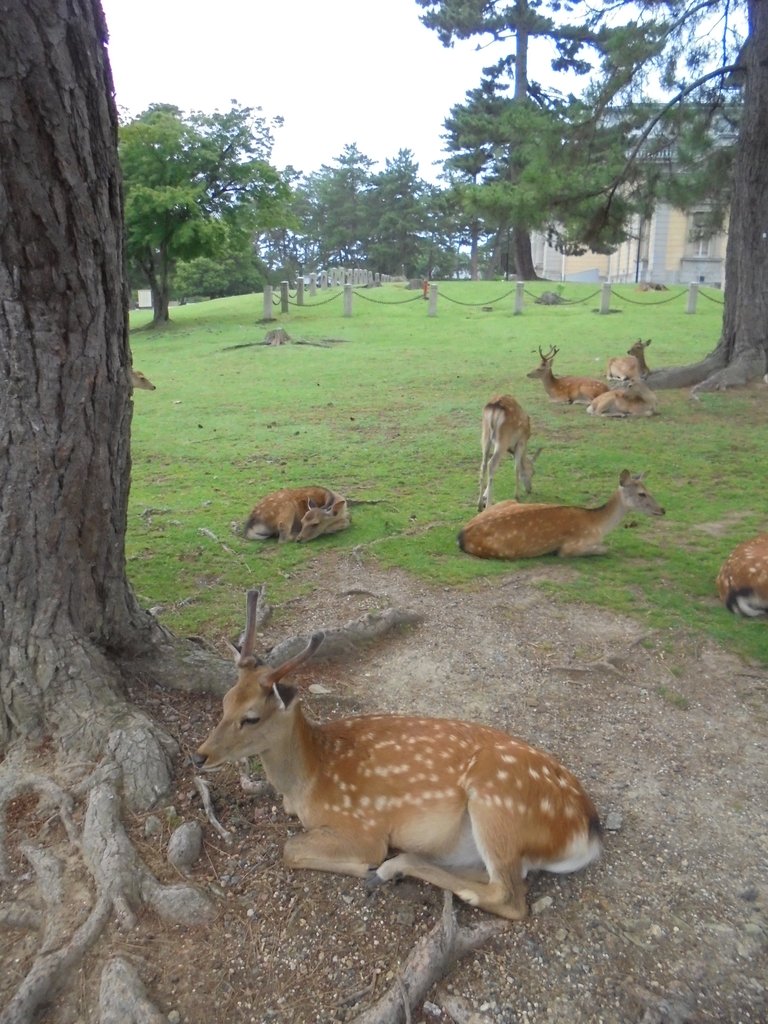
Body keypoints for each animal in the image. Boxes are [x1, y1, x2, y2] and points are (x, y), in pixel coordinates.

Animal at [195, 589, 606, 925]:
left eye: (251, 717)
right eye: (225, 700)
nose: (200, 756)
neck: (307, 781)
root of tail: (588, 828)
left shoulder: (361, 825)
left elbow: (290, 849)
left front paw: (364, 868)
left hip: (498, 801)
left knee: (509, 896)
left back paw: (393, 868)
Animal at [456, 471, 667, 561]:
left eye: (647, 489)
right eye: (642, 493)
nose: (663, 509)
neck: (597, 525)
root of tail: (461, 535)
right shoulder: (571, 546)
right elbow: (606, 548)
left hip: (507, 501)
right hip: (503, 551)